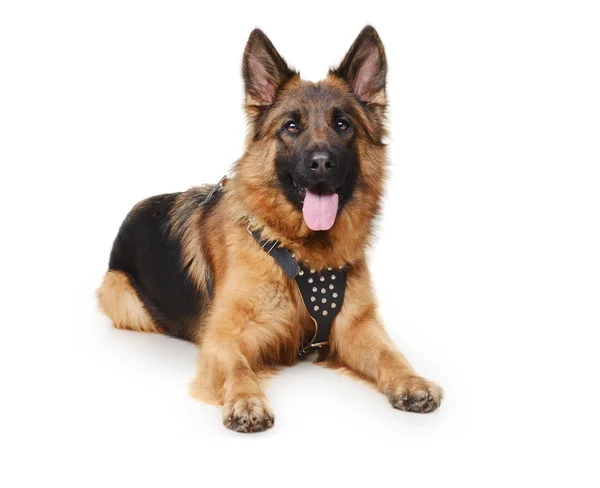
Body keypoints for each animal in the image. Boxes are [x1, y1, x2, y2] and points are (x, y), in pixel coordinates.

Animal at [98, 25, 442, 430]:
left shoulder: (357, 326)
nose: (321, 163)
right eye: (291, 126)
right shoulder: (224, 335)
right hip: (121, 296)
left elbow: (390, 354)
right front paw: (246, 400)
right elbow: (237, 366)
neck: (300, 252)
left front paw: (411, 380)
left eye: (343, 125)